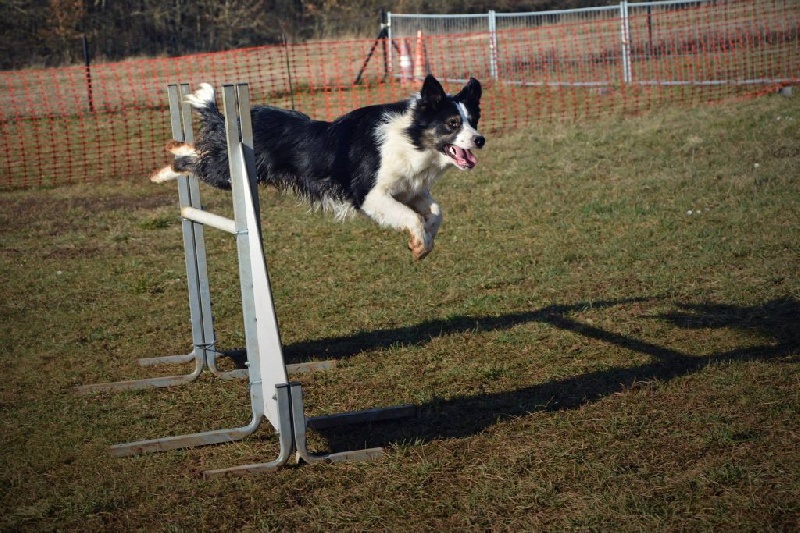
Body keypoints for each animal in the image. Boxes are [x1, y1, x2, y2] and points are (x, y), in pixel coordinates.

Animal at [151, 74, 485, 260]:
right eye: (452, 124)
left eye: (473, 120)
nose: (480, 140)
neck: (410, 137)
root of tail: (230, 119)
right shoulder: (369, 194)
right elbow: (411, 217)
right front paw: (420, 244)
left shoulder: (408, 188)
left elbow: (435, 212)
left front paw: (426, 239)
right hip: (228, 175)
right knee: (194, 161)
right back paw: (163, 169)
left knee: (202, 150)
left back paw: (177, 146)